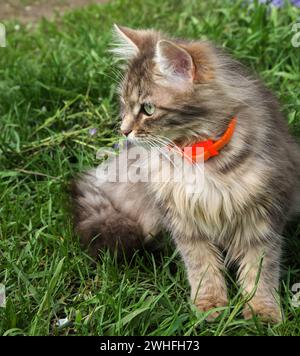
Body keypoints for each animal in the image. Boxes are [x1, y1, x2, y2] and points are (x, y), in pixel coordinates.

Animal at [71, 25, 300, 322]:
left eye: (148, 109)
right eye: (124, 102)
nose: (124, 130)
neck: (197, 153)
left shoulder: (262, 216)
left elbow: (260, 270)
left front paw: (262, 313)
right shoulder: (183, 220)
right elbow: (202, 266)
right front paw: (210, 306)